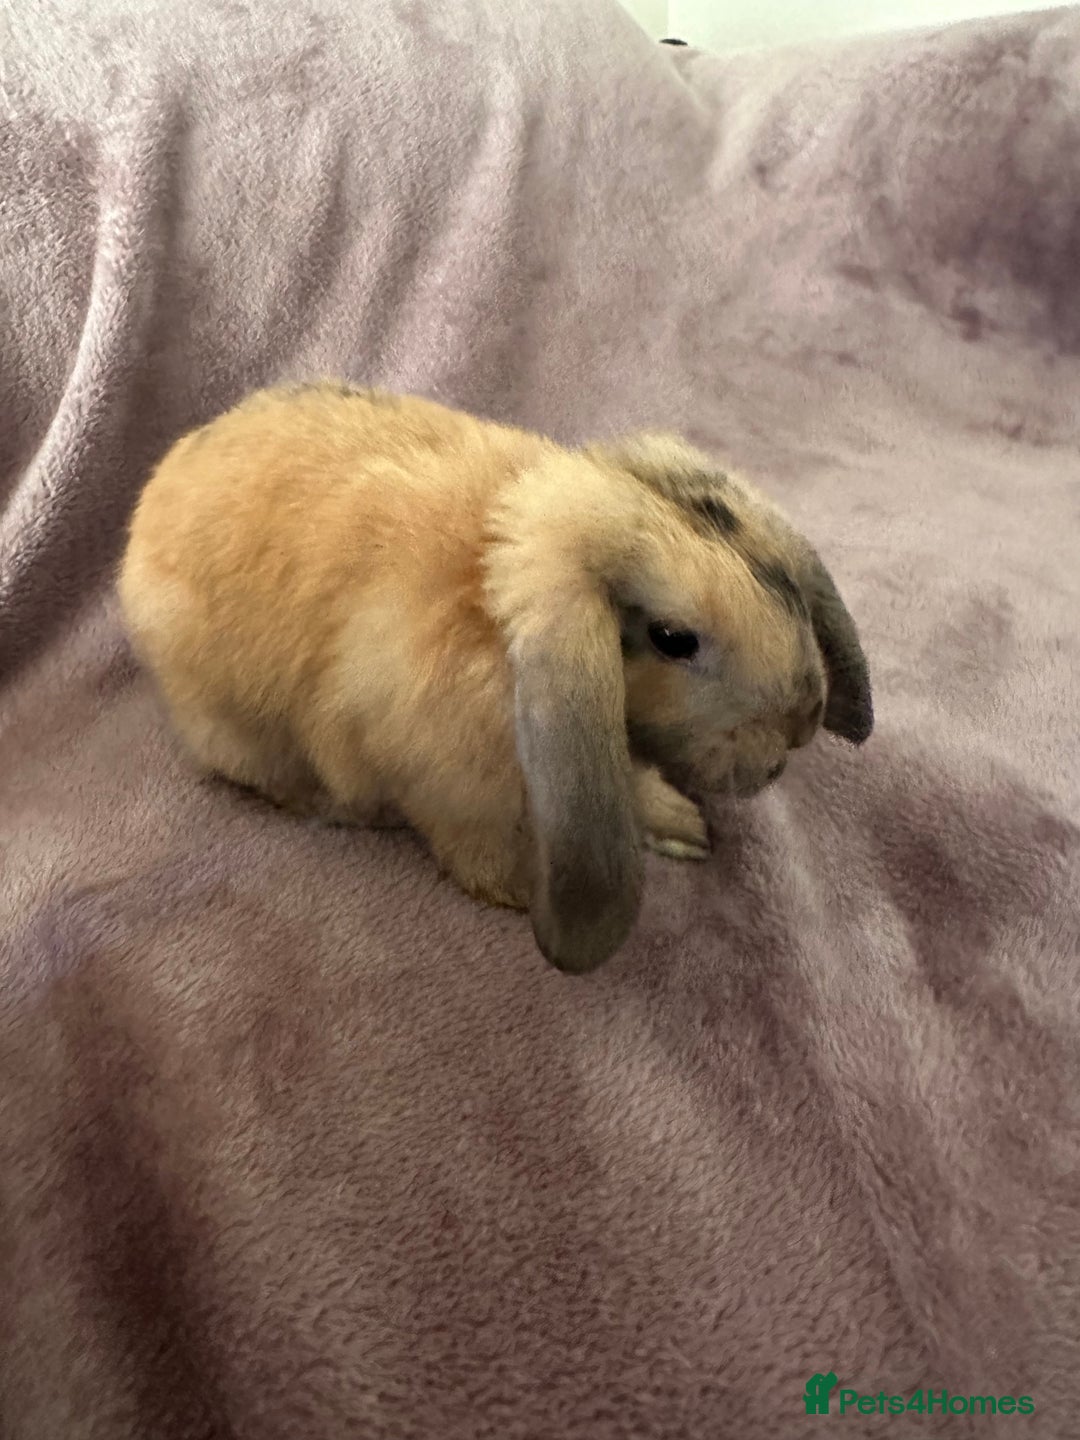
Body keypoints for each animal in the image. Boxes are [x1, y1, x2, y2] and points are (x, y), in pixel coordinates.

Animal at [118, 382, 873, 974]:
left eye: (783, 587)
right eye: (672, 639)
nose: (802, 724)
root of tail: (150, 503)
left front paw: (683, 827)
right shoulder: (446, 790)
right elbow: (472, 850)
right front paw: (517, 894)